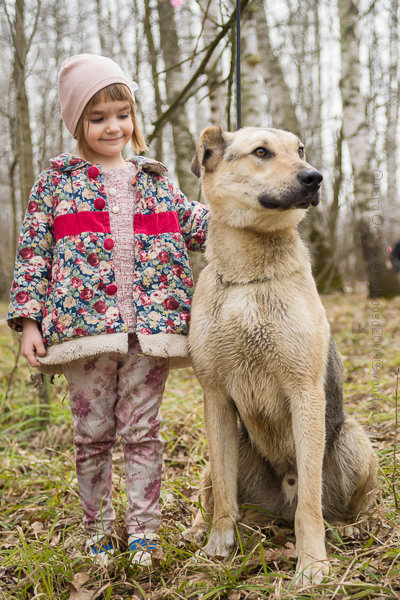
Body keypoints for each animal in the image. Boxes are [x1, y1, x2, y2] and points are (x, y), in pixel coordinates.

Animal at [184, 126, 378, 584]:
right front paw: (218, 547)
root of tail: (277, 512)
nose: (315, 177)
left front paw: (312, 565)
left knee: (334, 508)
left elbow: (310, 505)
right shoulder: (215, 398)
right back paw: (202, 529)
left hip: (355, 440)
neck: (248, 278)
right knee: (218, 493)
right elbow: (224, 497)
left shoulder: (304, 394)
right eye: (261, 152)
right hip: (220, 458)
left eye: (301, 149)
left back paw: (353, 527)